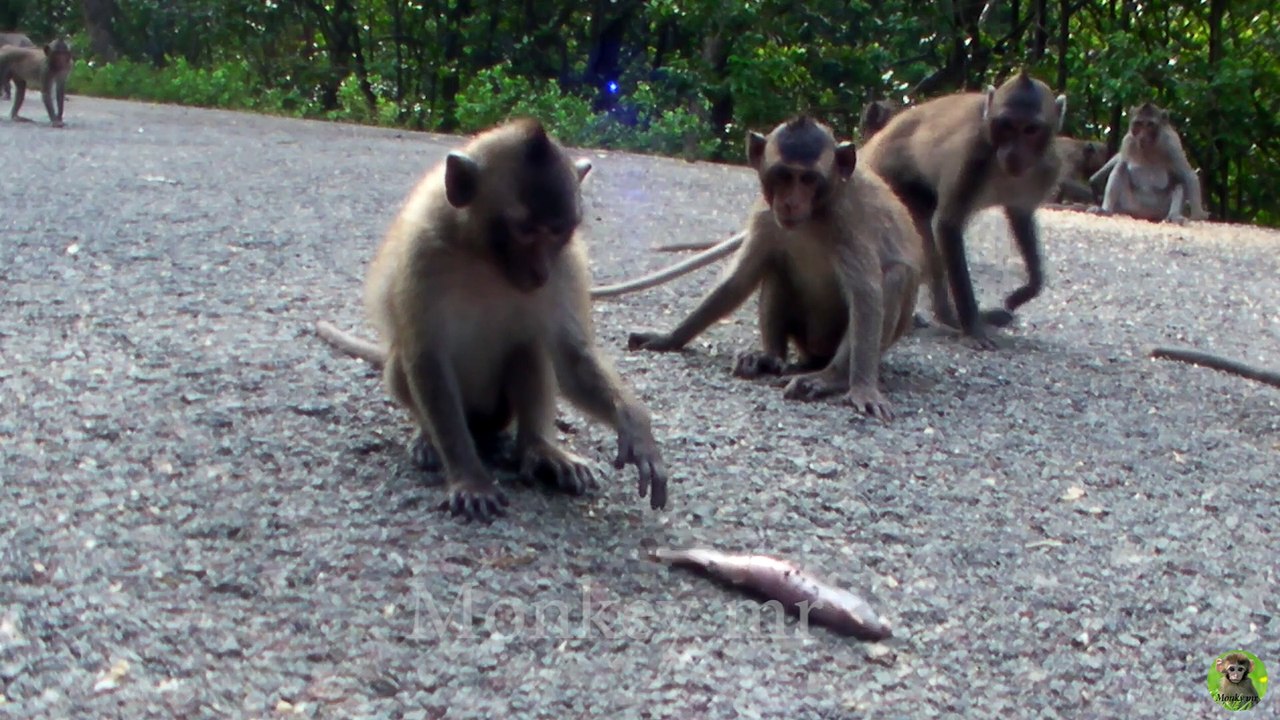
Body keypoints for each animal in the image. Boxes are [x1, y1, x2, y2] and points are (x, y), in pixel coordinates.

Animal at [314, 118, 669, 521]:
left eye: (559, 231)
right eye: (526, 230)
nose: (541, 272)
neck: (484, 256)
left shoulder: (566, 264)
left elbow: (571, 354)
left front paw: (636, 429)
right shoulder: (422, 253)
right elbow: (426, 357)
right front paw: (469, 478)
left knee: (529, 347)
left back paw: (540, 449)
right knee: (406, 363)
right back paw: (429, 438)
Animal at [626, 116, 924, 421]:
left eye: (808, 179)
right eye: (783, 176)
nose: (790, 202)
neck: (815, 214)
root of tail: (814, 354)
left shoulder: (848, 222)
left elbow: (866, 296)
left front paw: (861, 387)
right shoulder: (766, 215)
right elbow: (739, 280)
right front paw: (668, 338)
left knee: (896, 276)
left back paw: (831, 376)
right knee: (776, 268)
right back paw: (770, 358)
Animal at [858, 71, 1066, 348]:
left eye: (1030, 129)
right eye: (1006, 126)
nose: (1013, 152)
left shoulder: (1046, 169)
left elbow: (1021, 217)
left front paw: (1025, 291)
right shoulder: (972, 156)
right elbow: (948, 225)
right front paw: (973, 327)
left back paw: (947, 315)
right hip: (887, 181)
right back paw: (947, 317)